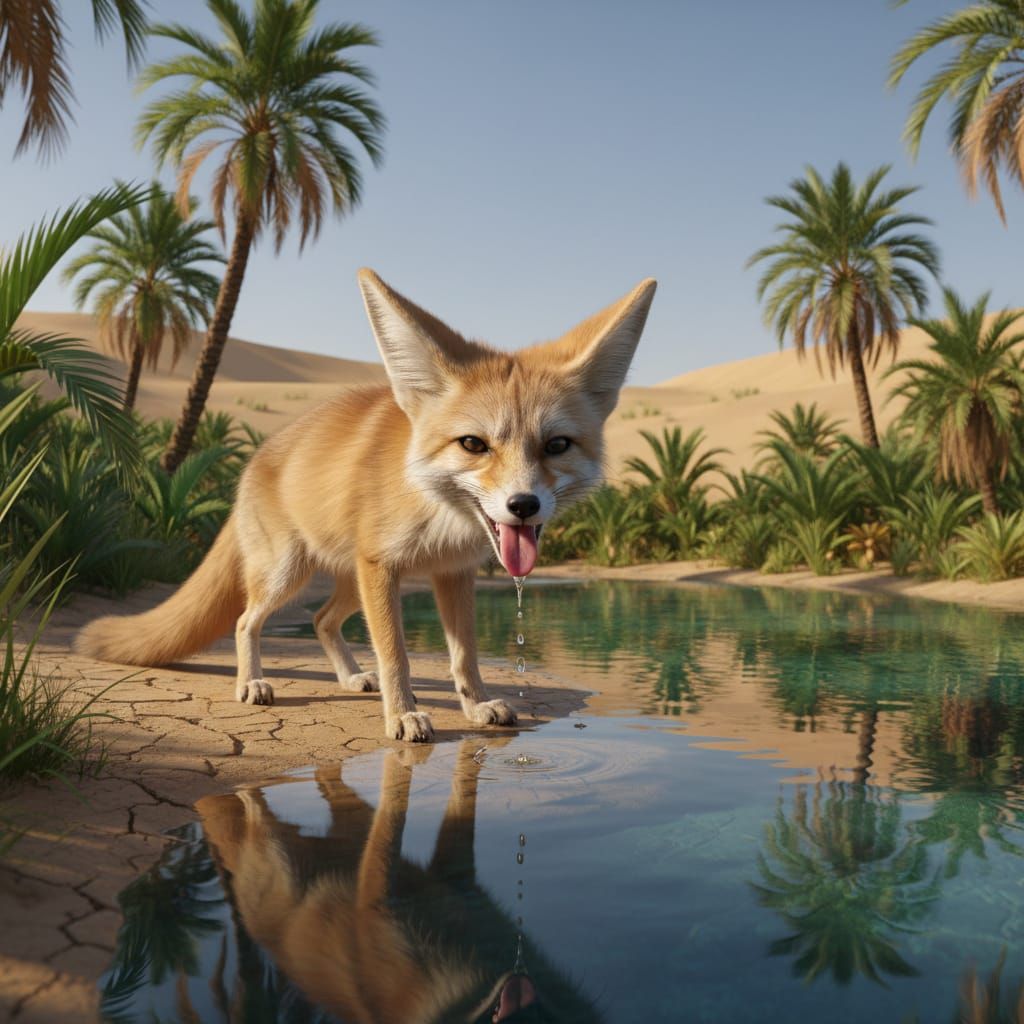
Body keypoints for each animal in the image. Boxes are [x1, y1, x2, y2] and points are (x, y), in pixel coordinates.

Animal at [76, 270, 657, 742]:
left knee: (320, 620)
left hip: (349, 583)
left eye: (556, 445)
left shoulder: (452, 574)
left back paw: (352, 677)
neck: (439, 516)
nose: (523, 505)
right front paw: (402, 716)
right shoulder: (383, 569)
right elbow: (397, 654)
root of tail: (256, 458)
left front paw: (473, 707)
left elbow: (464, 657)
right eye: (474, 444)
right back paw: (254, 682)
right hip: (293, 575)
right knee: (245, 621)